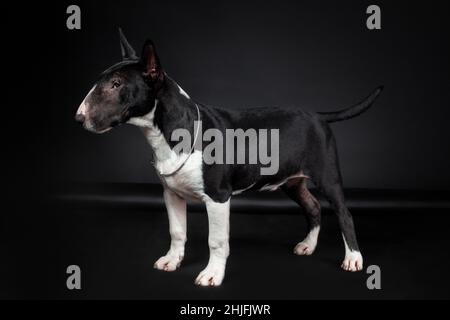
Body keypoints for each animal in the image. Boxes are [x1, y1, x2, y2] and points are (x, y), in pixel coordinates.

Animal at [74, 28, 384, 286]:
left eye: (116, 84)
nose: (79, 118)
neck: (173, 131)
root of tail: (317, 115)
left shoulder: (218, 198)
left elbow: (217, 240)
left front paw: (212, 275)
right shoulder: (171, 194)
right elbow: (177, 231)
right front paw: (172, 261)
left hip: (327, 176)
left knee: (344, 213)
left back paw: (353, 258)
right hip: (291, 181)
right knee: (314, 207)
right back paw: (308, 245)